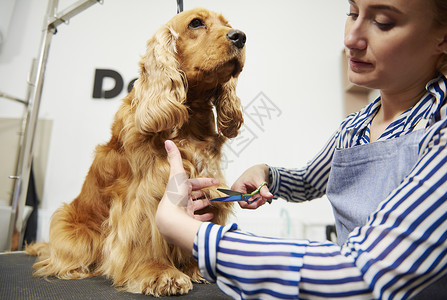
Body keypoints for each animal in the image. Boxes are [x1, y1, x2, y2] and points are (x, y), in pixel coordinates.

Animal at [25, 8, 245, 296]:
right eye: (196, 23)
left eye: (227, 24)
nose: (240, 36)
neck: (190, 121)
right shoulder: (147, 193)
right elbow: (146, 236)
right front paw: (160, 273)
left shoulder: (207, 186)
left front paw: (195, 267)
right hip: (70, 226)